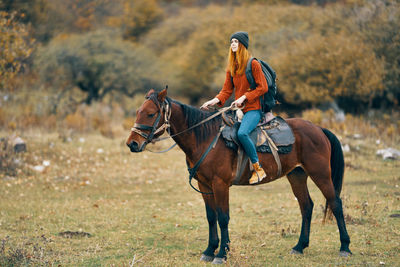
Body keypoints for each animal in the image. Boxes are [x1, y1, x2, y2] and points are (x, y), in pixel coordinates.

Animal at [126, 89, 350, 264]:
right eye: (138, 112)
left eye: (150, 114)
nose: (132, 143)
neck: (205, 138)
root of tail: (318, 128)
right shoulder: (205, 185)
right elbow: (211, 217)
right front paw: (209, 250)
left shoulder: (220, 185)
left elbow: (223, 217)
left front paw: (221, 254)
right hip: (297, 175)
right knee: (306, 206)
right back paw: (299, 246)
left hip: (320, 174)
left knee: (335, 203)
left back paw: (345, 247)